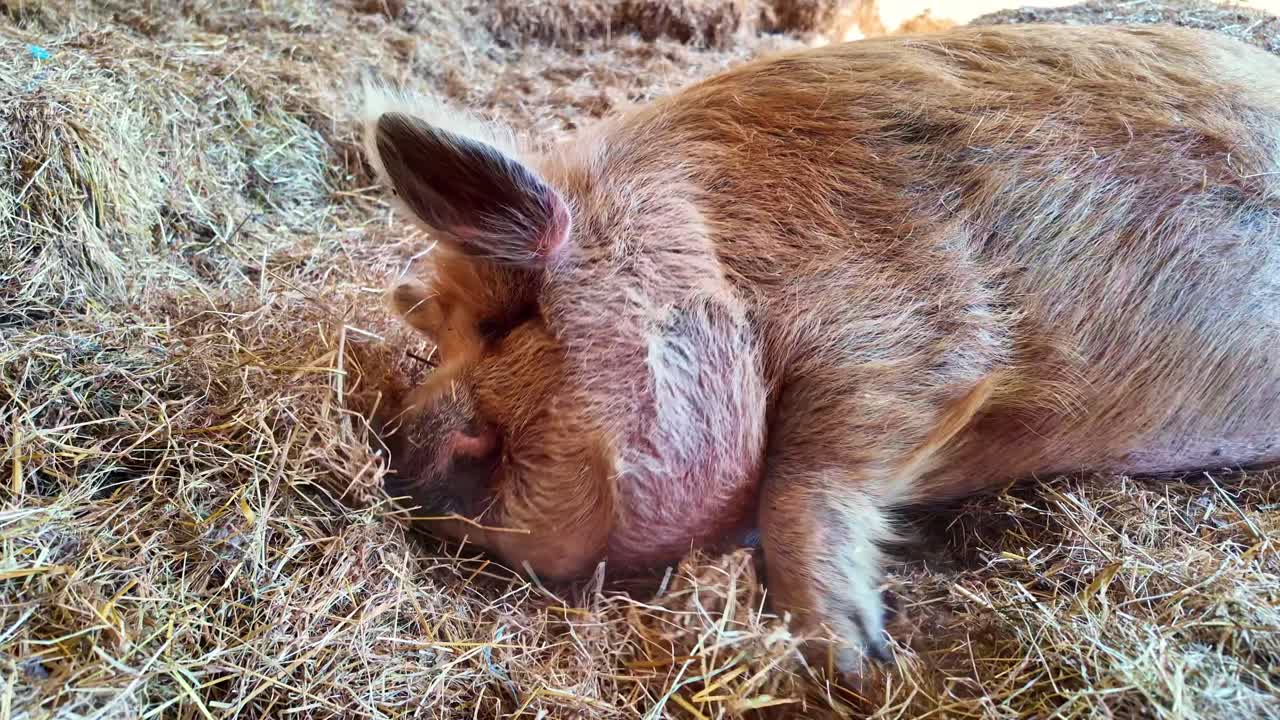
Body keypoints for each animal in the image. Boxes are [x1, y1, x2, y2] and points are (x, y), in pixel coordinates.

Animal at [360, 23, 1280, 671]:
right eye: (433, 340)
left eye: (509, 321)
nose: (398, 448)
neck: (727, 268)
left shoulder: (918, 339)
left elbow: (808, 478)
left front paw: (852, 660)